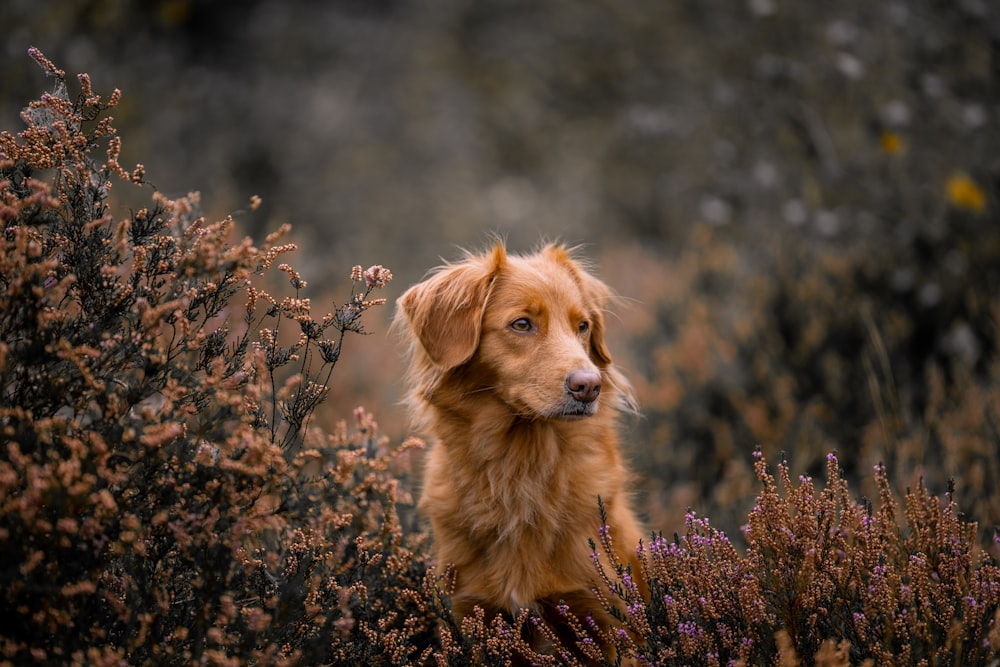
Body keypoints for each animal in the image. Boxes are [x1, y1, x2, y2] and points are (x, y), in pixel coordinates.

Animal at [394, 243, 644, 660]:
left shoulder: (606, 619)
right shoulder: (475, 616)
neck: (520, 468)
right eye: (522, 324)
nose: (589, 386)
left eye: (582, 326)